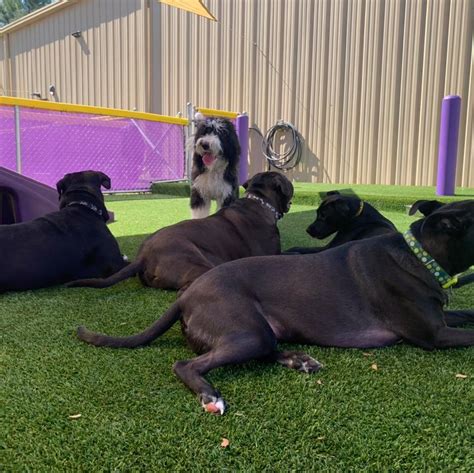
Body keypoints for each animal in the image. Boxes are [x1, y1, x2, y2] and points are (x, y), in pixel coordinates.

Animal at [76, 199, 474, 412]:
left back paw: (300, 360)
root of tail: (187, 295)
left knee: (266, 349)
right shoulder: (433, 334)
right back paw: (210, 394)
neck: (421, 255)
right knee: (186, 363)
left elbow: (468, 313)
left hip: (259, 332)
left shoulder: (440, 318)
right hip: (246, 332)